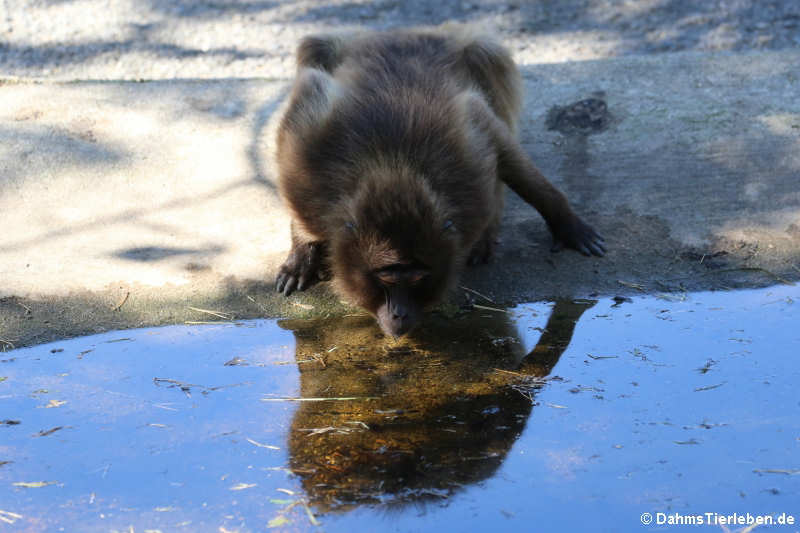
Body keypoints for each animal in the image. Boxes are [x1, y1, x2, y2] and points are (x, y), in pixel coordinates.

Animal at [272, 26, 604, 336]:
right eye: (386, 279)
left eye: (418, 279)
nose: (399, 315)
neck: (393, 170)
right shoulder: (307, 161)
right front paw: (302, 254)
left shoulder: (471, 165)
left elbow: (502, 146)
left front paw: (566, 223)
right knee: (315, 50)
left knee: (486, 56)